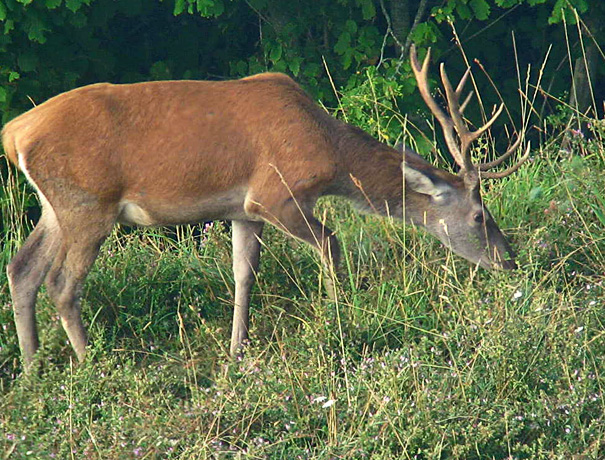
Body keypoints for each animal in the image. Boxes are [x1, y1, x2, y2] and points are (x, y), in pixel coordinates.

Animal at [2, 45, 528, 372]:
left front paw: (237, 351)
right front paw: (342, 321)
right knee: (61, 283)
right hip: (89, 203)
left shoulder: (243, 211)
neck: (330, 151)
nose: (509, 260)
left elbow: (243, 273)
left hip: (54, 207)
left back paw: (32, 371)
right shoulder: (276, 195)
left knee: (22, 268)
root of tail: (14, 133)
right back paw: (93, 366)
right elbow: (331, 245)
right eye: (480, 216)